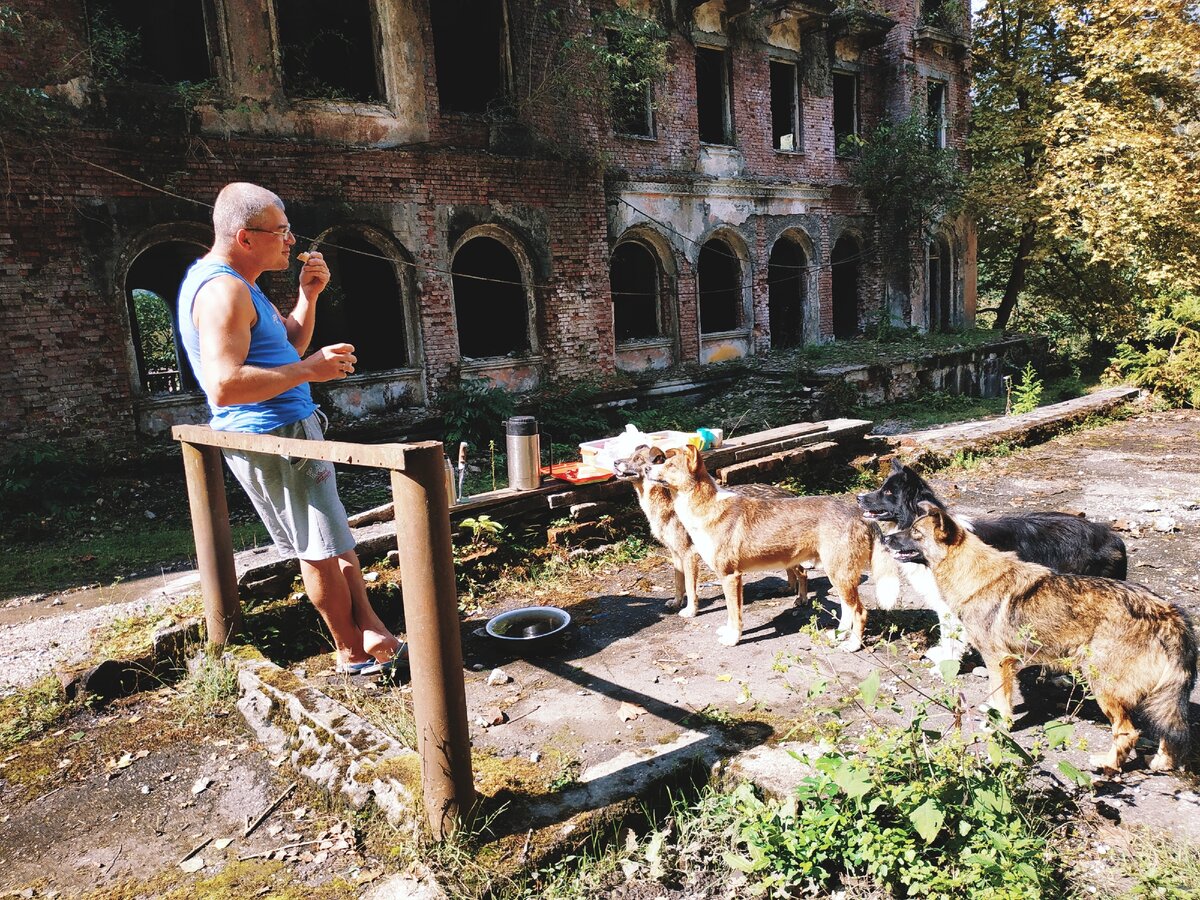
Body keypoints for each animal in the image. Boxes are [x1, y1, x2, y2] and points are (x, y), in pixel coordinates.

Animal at [614, 446, 801, 619]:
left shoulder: (688, 555)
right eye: (630, 455)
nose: (615, 462)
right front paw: (676, 603)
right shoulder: (675, 554)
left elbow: (689, 587)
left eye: (638, 459)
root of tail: (789, 493)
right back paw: (790, 588)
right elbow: (678, 584)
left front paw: (690, 610)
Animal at [652, 444, 897, 648]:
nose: (646, 469)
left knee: (860, 612)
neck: (706, 507)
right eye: (662, 462)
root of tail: (860, 514)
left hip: (840, 575)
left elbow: (734, 614)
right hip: (837, 576)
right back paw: (839, 635)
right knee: (847, 609)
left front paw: (733, 639)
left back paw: (853, 645)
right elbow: (730, 615)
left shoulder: (730, 577)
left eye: (669, 465)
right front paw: (728, 633)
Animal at [859, 460, 1128, 667]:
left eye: (889, 493)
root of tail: (1112, 536)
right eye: (882, 488)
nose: (859, 497)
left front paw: (948, 665)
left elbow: (953, 636)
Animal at [888, 508, 1195, 777]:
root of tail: (1168, 614)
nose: (887, 538)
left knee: (1128, 732)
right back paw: (1161, 763)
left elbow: (1001, 701)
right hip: (1155, 699)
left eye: (915, 532)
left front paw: (998, 726)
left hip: (1104, 687)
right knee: (1168, 731)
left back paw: (1108, 763)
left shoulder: (998, 662)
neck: (973, 574)